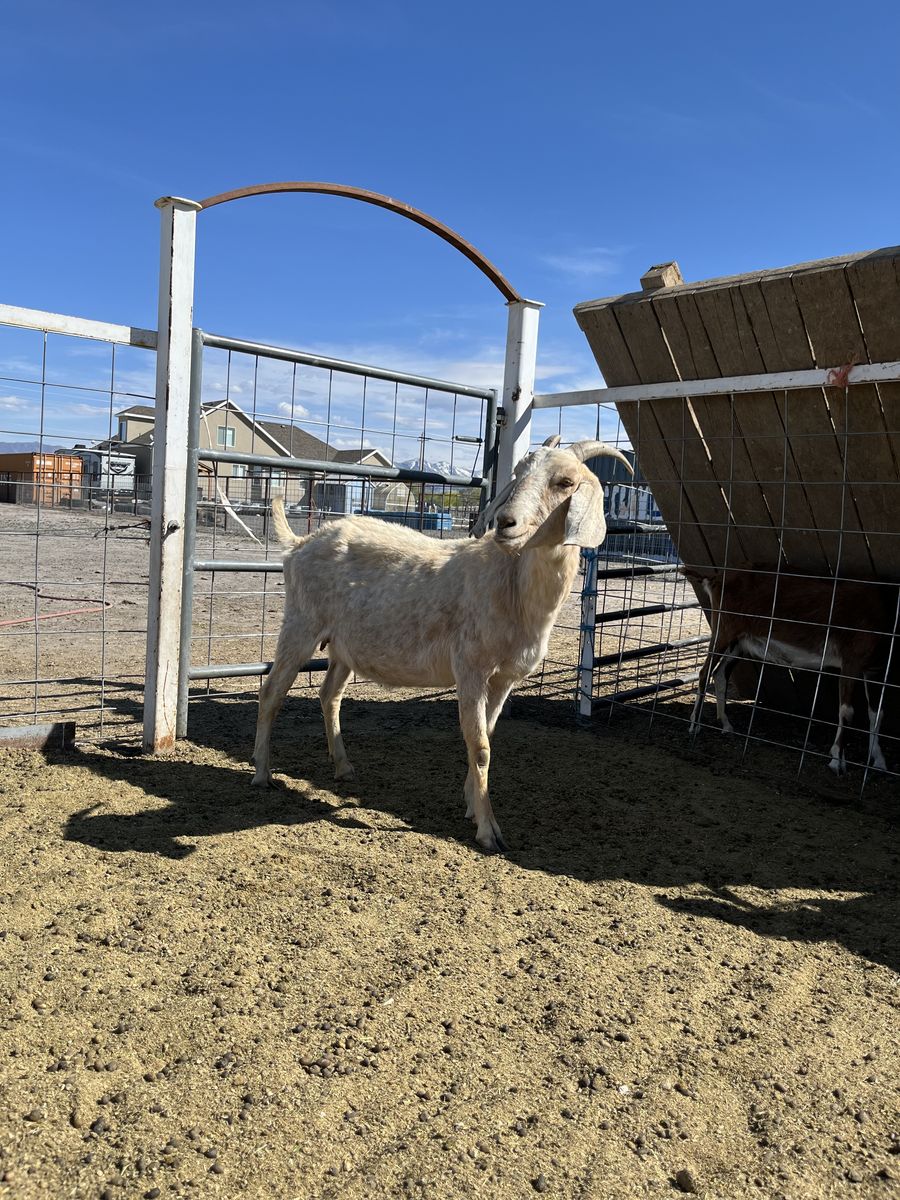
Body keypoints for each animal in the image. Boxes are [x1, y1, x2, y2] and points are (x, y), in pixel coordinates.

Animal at [251, 436, 633, 852]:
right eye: (518, 473)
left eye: (565, 482)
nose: (506, 523)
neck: (512, 584)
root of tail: (299, 543)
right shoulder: (471, 666)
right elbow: (480, 746)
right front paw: (489, 830)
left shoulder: (504, 678)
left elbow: (486, 736)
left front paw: (471, 804)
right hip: (301, 624)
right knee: (271, 692)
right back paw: (262, 773)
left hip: (343, 646)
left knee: (329, 695)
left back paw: (343, 766)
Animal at [685, 565, 895, 774]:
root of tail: (715, 579)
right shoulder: (851, 662)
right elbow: (847, 711)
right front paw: (837, 761)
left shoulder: (875, 670)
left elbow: (877, 713)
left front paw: (879, 762)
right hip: (723, 630)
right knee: (704, 672)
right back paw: (695, 725)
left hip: (740, 641)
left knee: (719, 673)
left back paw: (726, 725)